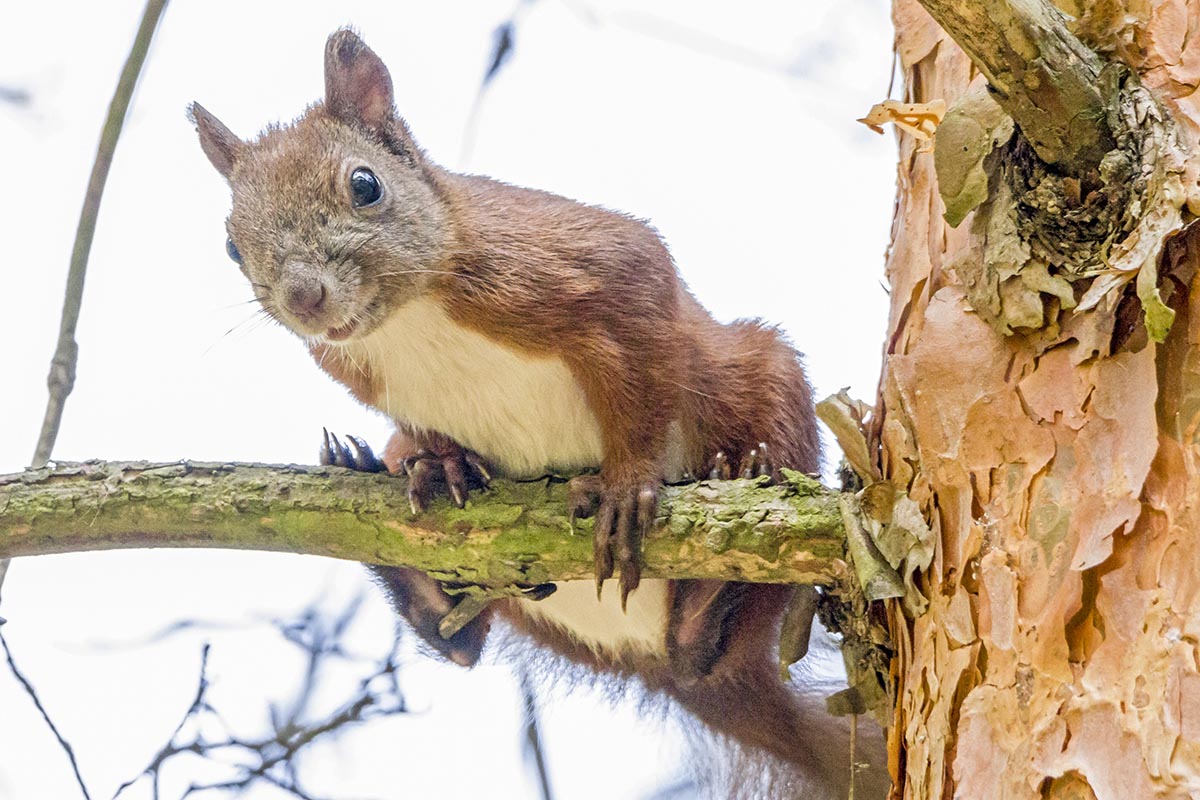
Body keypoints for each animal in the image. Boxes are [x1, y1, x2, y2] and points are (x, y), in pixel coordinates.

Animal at [192, 28, 878, 796]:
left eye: (364, 185)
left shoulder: (585, 269)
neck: (406, 322)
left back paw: (731, 519)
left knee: (707, 643)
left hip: (762, 377)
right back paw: (397, 508)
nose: (303, 299)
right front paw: (443, 461)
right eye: (231, 243)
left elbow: (643, 360)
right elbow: (423, 430)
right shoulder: (361, 377)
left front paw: (627, 485)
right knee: (462, 643)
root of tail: (647, 658)